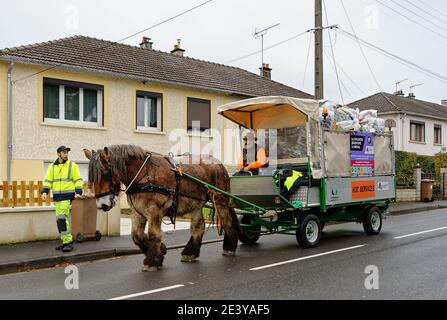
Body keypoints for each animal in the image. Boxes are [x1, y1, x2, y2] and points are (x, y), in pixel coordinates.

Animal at [82, 146, 240, 272]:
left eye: (105, 175)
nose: (102, 205)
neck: (144, 174)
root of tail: (219, 163)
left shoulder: (154, 211)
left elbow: (153, 234)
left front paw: (153, 261)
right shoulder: (138, 212)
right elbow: (137, 236)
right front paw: (161, 250)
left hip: (220, 200)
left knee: (226, 221)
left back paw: (229, 247)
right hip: (196, 205)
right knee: (198, 226)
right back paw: (190, 252)